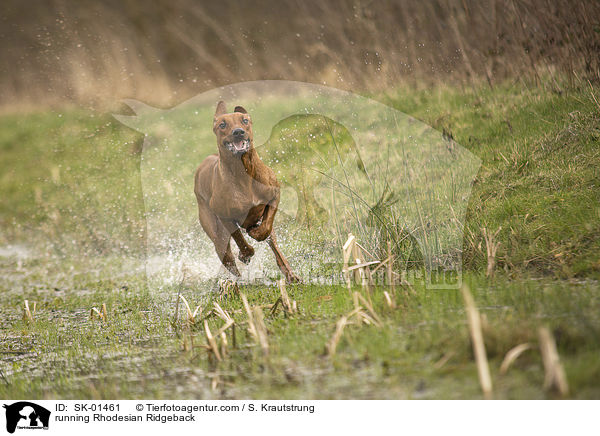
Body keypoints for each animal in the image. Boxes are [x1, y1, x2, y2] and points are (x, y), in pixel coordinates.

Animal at [195, 102, 300, 284]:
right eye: (222, 124)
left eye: (244, 120)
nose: (238, 132)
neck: (243, 172)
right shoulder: (224, 216)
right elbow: (239, 239)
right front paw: (245, 254)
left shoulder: (274, 196)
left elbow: (266, 226)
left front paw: (256, 232)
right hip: (216, 233)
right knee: (227, 256)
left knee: (275, 247)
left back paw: (290, 274)